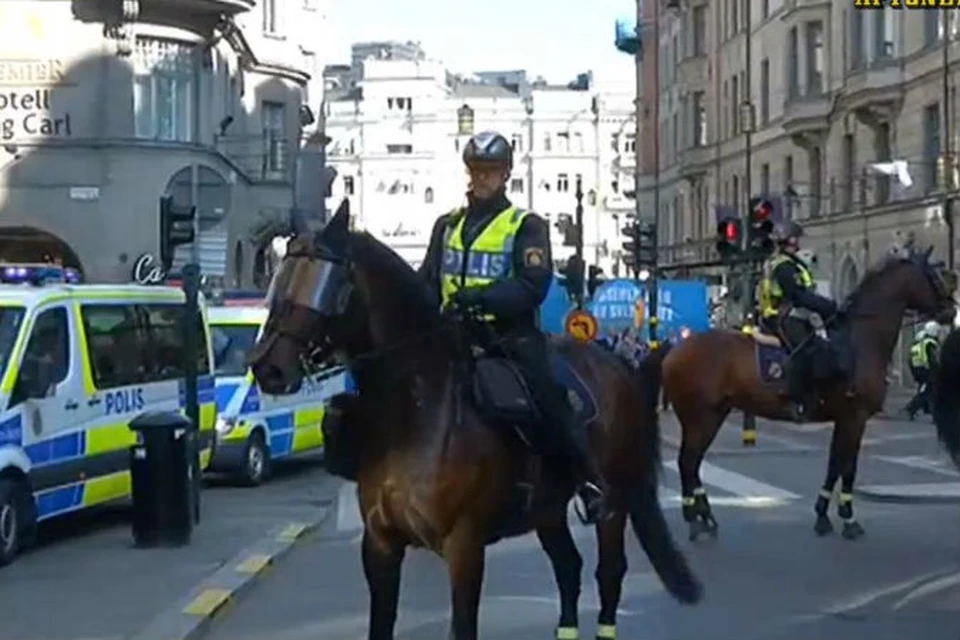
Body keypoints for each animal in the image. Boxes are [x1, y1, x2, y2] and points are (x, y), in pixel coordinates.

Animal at [244, 204, 700, 640]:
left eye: (328, 283)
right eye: (280, 278)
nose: (267, 367)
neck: (420, 411)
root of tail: (619, 365)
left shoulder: (464, 547)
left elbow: (463, 627)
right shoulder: (380, 545)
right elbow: (381, 625)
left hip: (614, 502)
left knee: (609, 573)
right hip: (547, 509)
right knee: (568, 568)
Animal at [660, 242, 952, 544]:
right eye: (934, 277)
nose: (951, 311)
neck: (858, 342)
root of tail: (674, 350)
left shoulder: (843, 418)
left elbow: (835, 465)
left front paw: (823, 515)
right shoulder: (855, 417)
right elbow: (848, 467)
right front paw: (848, 519)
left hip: (712, 415)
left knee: (693, 464)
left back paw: (705, 518)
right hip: (700, 417)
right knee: (687, 462)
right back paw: (695, 521)